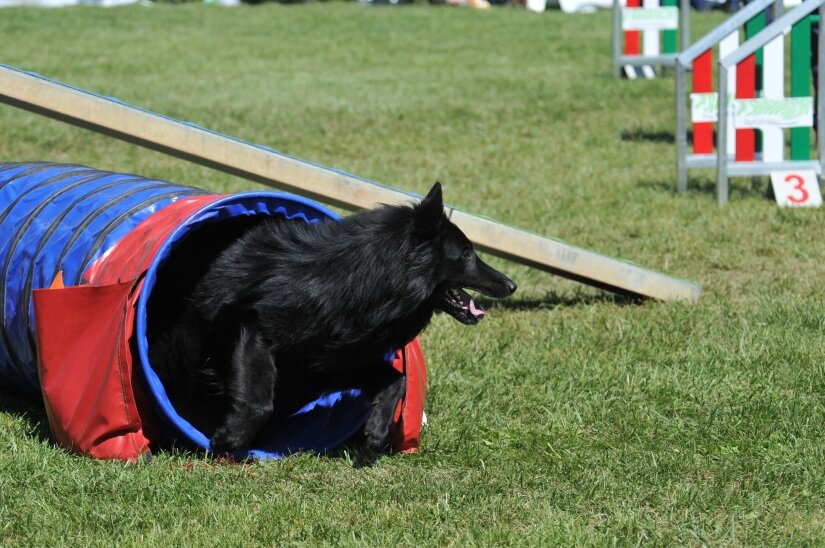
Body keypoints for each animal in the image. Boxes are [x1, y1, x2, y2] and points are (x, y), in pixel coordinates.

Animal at [151, 184, 516, 454]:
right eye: (466, 254)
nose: (512, 284)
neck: (364, 281)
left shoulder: (335, 358)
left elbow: (396, 379)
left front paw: (378, 430)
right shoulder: (252, 327)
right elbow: (259, 400)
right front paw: (229, 438)